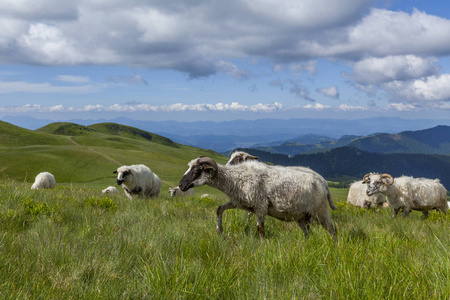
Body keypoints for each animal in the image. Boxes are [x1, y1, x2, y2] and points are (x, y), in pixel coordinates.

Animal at [178, 157, 336, 239]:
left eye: (196, 170)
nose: (181, 185)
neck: (236, 178)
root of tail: (323, 182)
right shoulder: (238, 202)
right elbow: (219, 209)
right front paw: (219, 230)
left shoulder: (260, 207)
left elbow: (260, 228)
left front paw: (262, 245)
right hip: (302, 216)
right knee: (307, 232)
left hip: (320, 210)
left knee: (332, 228)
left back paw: (334, 245)